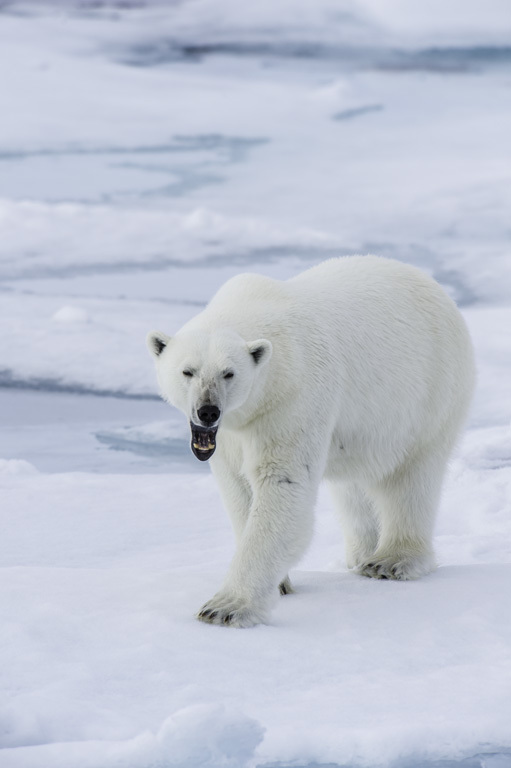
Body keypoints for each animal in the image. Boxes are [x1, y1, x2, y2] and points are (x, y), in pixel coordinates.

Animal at [148, 255, 476, 628]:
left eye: (228, 373)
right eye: (187, 371)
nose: (207, 411)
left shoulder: (293, 397)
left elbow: (282, 484)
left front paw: (225, 607)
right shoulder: (232, 432)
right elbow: (238, 488)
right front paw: (280, 583)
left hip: (431, 394)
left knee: (411, 479)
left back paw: (390, 560)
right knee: (353, 488)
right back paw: (361, 553)